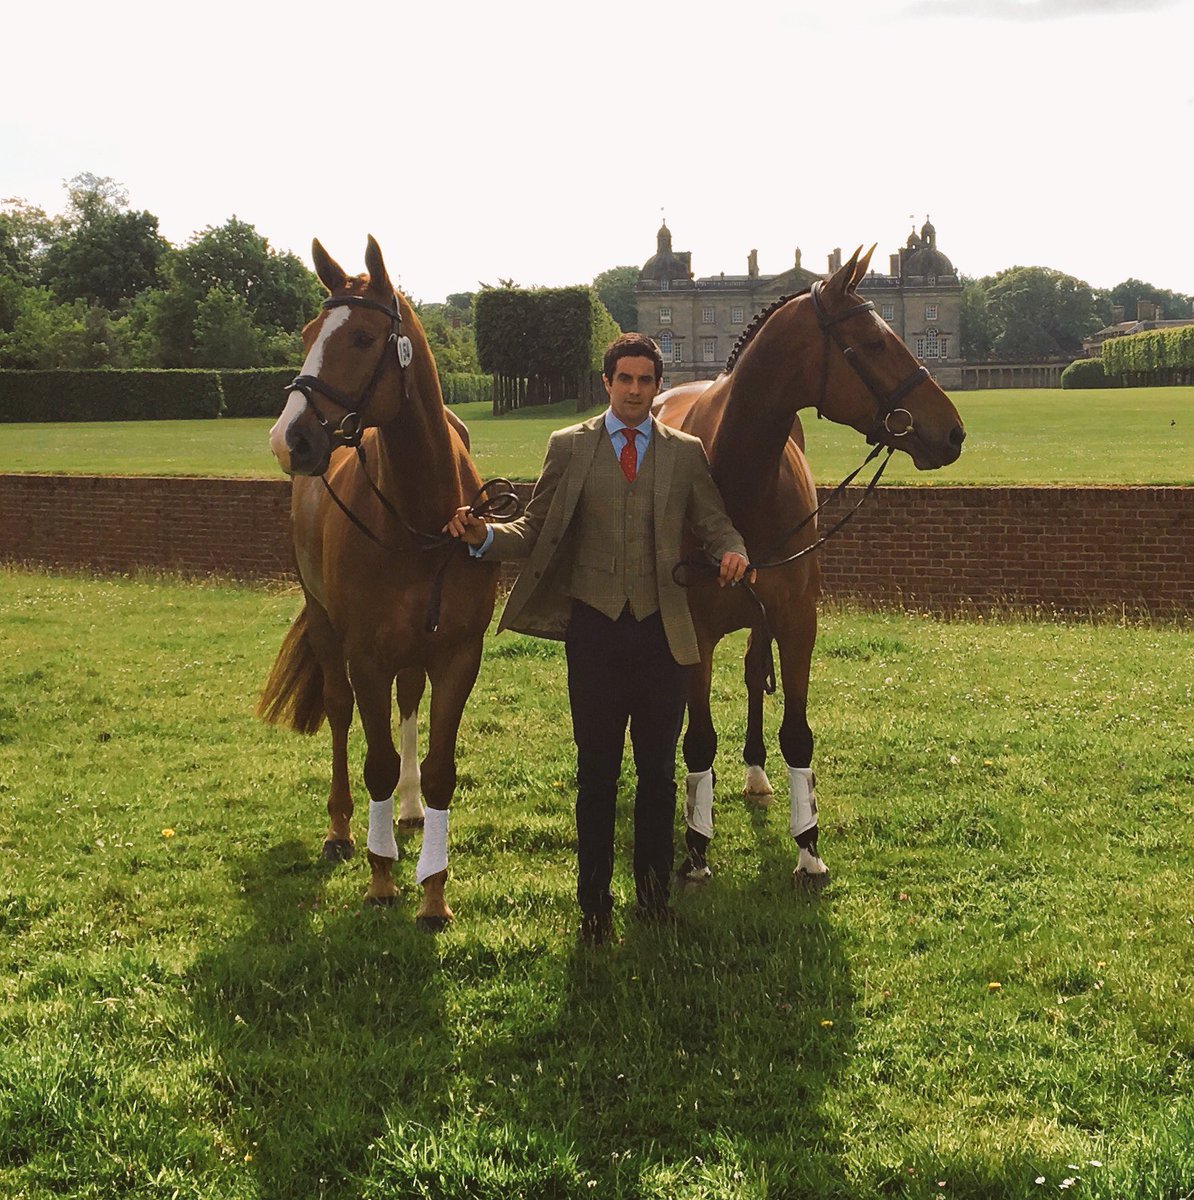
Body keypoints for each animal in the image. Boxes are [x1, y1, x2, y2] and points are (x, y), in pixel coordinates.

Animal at [261, 234, 499, 926]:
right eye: (308, 333)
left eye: (363, 337)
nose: (288, 438)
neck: (420, 517)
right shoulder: (365, 655)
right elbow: (374, 763)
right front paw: (382, 876)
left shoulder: (457, 654)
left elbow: (440, 766)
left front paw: (434, 889)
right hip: (324, 624)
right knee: (341, 717)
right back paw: (343, 831)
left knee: (409, 702)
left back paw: (411, 810)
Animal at [657, 241, 964, 892]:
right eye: (872, 342)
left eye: (905, 331)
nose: (952, 431)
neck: (740, 477)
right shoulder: (694, 626)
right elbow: (698, 739)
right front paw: (696, 848)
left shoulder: (798, 619)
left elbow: (796, 733)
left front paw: (808, 846)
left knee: (754, 674)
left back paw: (753, 772)